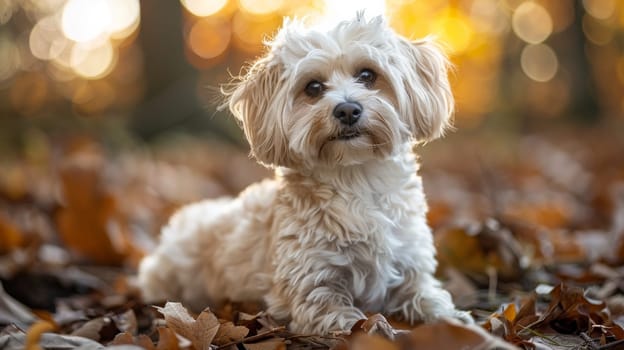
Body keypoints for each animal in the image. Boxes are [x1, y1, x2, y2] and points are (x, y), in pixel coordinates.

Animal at [139, 13, 472, 334]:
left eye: (367, 75)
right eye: (313, 87)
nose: (347, 110)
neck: (356, 178)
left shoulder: (410, 261)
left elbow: (425, 294)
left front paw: (451, 317)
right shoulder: (312, 280)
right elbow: (340, 318)